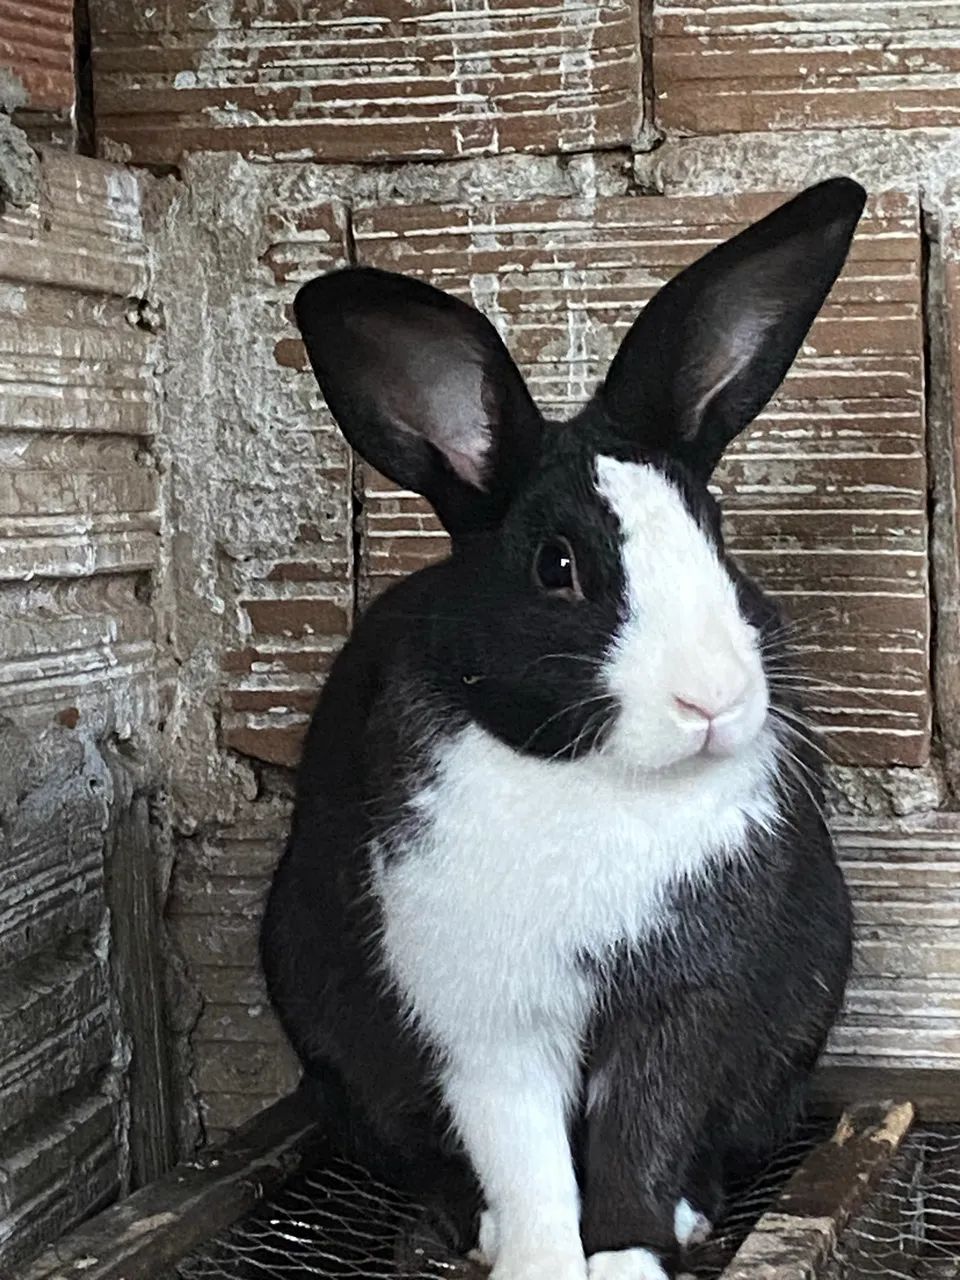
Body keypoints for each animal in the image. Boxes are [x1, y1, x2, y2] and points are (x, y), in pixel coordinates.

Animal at [260, 176, 864, 1280]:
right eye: (557, 566)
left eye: (715, 533)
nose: (714, 699)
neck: (598, 778)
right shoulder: (485, 1019)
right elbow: (525, 1154)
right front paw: (542, 1258)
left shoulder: (681, 1004)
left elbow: (645, 1133)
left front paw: (626, 1255)